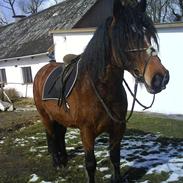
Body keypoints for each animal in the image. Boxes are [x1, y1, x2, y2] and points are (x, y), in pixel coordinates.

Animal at [33, 0, 169, 182]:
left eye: (149, 34)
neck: (100, 90)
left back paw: (64, 160)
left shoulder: (118, 129)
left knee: (60, 135)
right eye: (125, 37)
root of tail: (42, 71)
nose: (160, 77)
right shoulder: (87, 133)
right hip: (45, 117)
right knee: (52, 136)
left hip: (59, 117)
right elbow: (90, 165)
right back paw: (57, 162)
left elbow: (115, 158)